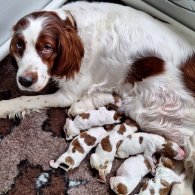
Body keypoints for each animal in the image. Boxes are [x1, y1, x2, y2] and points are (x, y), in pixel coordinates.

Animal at [0, 1, 195, 193]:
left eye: (47, 47)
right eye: (19, 45)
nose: (24, 81)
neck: (75, 28)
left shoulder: (68, 95)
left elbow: (24, 100)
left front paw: (4, 106)